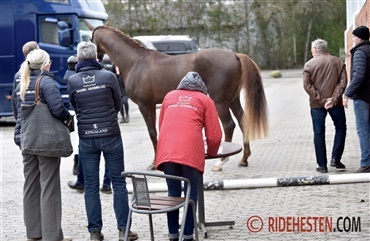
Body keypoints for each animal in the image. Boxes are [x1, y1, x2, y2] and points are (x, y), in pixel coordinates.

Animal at [91, 25, 268, 170]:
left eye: (91, 39)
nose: (97, 59)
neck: (136, 62)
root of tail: (235, 55)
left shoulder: (145, 105)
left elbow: (152, 133)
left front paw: (154, 163)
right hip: (232, 99)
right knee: (242, 121)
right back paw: (244, 159)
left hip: (220, 102)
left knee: (229, 125)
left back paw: (220, 161)